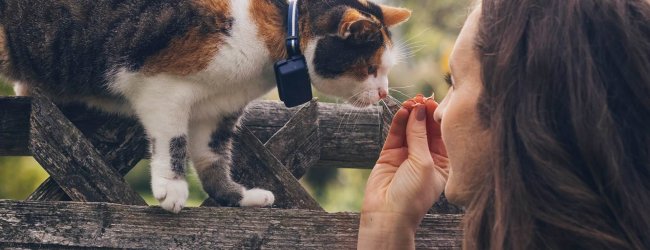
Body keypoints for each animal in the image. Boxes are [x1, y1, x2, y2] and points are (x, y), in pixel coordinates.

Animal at [0, 0, 410, 213]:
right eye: (370, 68)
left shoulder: (218, 110)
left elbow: (212, 155)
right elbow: (174, 140)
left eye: (384, 69)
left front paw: (238, 197)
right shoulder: (162, 86)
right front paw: (171, 188)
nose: (382, 93)